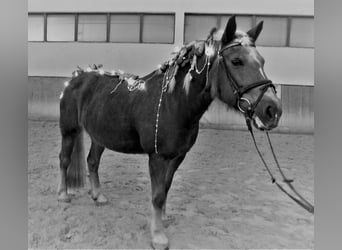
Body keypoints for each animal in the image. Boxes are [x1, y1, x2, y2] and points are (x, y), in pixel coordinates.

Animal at [57, 16, 282, 250]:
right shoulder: (157, 157)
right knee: (64, 159)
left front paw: (163, 219)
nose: (273, 110)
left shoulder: (177, 157)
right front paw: (158, 236)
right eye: (237, 61)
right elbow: (156, 195)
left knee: (92, 161)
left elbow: (165, 189)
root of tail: (76, 78)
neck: (173, 102)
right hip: (69, 130)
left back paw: (98, 195)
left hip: (99, 136)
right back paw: (63, 195)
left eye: (262, 61)